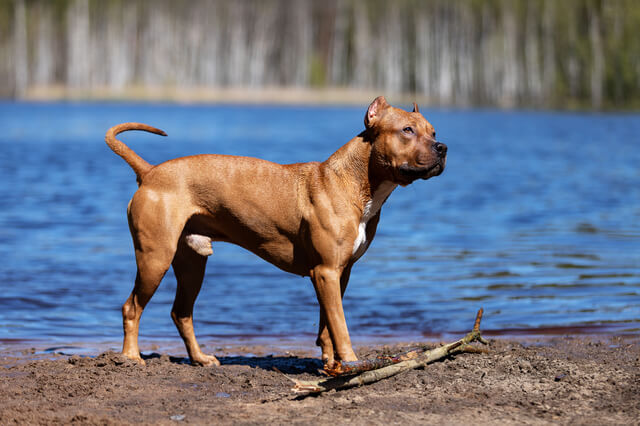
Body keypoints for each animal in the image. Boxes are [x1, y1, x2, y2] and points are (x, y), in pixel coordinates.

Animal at [105, 95, 444, 366]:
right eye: (407, 130)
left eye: (433, 132)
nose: (443, 147)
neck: (356, 183)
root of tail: (149, 172)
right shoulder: (327, 271)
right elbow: (340, 325)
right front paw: (350, 362)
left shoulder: (339, 272)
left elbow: (327, 325)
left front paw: (330, 364)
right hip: (155, 258)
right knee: (131, 307)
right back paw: (131, 358)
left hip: (192, 263)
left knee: (181, 312)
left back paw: (200, 358)